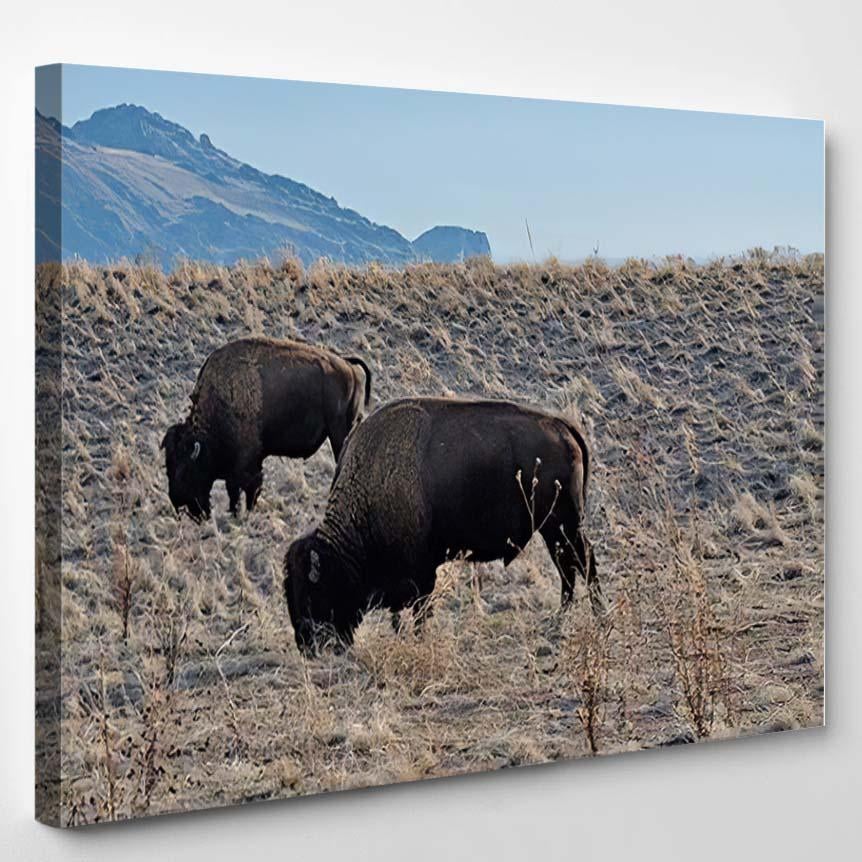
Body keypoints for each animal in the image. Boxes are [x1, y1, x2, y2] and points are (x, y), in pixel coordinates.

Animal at [164, 340, 372, 524]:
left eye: (185, 471)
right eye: (168, 467)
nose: (177, 503)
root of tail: (348, 365)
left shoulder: (246, 463)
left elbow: (245, 488)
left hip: (339, 431)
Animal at [284, 398, 600, 656]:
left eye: (313, 594)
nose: (307, 647)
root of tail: (563, 427)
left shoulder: (422, 572)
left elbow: (422, 609)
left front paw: (420, 638)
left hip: (564, 526)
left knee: (583, 563)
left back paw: (593, 613)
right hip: (553, 531)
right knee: (568, 569)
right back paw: (562, 617)